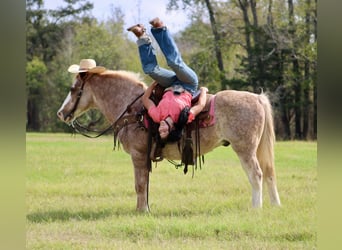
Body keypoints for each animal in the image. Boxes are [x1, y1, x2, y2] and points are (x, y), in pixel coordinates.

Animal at [56, 69, 280, 212]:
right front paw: (143, 208)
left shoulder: (138, 156)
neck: (134, 110)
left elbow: (139, 185)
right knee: (269, 173)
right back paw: (275, 205)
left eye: (73, 89)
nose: (61, 113)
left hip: (245, 150)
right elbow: (143, 184)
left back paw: (256, 207)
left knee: (256, 175)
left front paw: (142, 211)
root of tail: (257, 98)